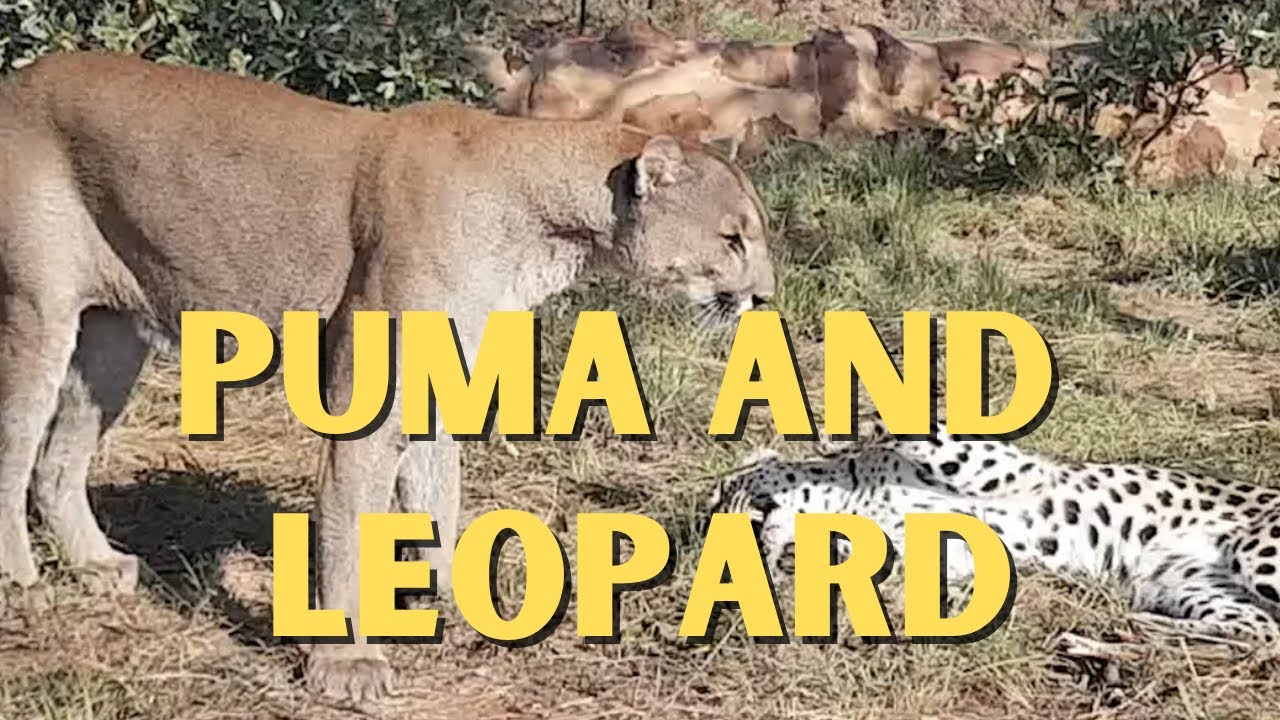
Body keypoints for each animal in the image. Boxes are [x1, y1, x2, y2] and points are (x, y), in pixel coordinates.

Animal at [0, 50, 776, 703]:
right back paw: (23, 585)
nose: (767, 298)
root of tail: (21, 79)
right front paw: (346, 665)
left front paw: (462, 606)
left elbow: (439, 500)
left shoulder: (439, 389)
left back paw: (97, 566)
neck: (542, 223)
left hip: (111, 337)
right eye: (731, 238)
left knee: (58, 462)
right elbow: (348, 532)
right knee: (15, 451)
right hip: (36, 315)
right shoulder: (363, 405)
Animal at [709, 416, 1280, 646]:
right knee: (1262, 634)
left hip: (1256, 553)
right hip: (1189, 584)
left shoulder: (1007, 469)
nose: (718, 523)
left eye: (720, 493)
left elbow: (930, 432)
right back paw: (1134, 627)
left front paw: (842, 430)